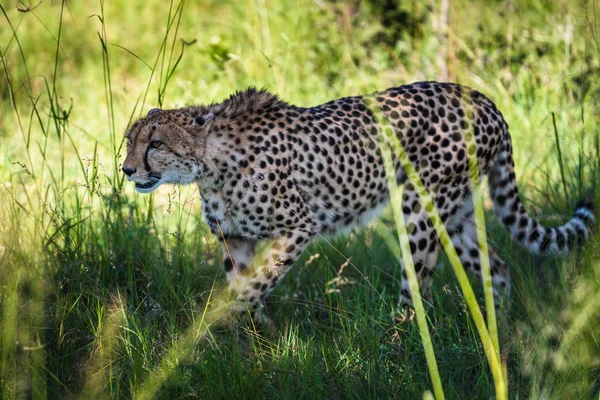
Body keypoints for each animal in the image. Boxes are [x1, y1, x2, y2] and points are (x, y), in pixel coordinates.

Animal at [123, 80, 596, 322]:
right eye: (130, 141)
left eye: (156, 144)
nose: (127, 170)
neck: (210, 162)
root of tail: (482, 99)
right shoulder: (236, 239)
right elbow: (243, 286)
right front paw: (248, 345)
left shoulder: (299, 227)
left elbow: (255, 285)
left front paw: (221, 331)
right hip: (457, 212)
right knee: (497, 268)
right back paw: (499, 329)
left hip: (421, 208)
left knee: (418, 288)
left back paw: (400, 348)